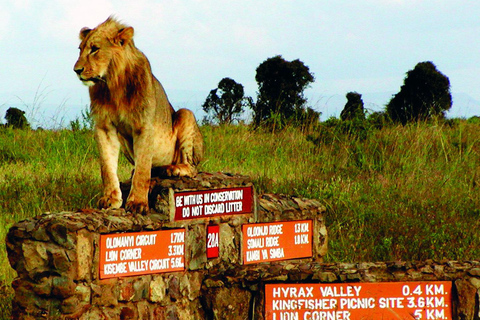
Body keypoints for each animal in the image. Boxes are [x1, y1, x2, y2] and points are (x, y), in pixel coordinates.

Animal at [73, 16, 204, 214]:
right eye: (80, 49)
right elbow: (107, 166)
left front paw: (137, 203)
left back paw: (172, 169)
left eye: (95, 49)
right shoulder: (104, 127)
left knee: (192, 168)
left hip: (185, 114)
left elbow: (143, 169)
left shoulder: (144, 125)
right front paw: (110, 199)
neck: (113, 83)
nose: (77, 70)